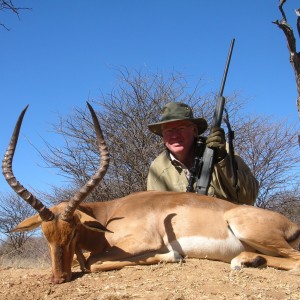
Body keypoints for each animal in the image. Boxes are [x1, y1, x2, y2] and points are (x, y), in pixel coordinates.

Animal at [2, 103, 300, 284]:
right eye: (44, 233)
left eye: (74, 230)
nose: (58, 278)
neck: (111, 213)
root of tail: (291, 224)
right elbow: (86, 260)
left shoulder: (141, 241)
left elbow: (93, 263)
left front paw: (172, 256)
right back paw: (249, 260)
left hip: (247, 228)